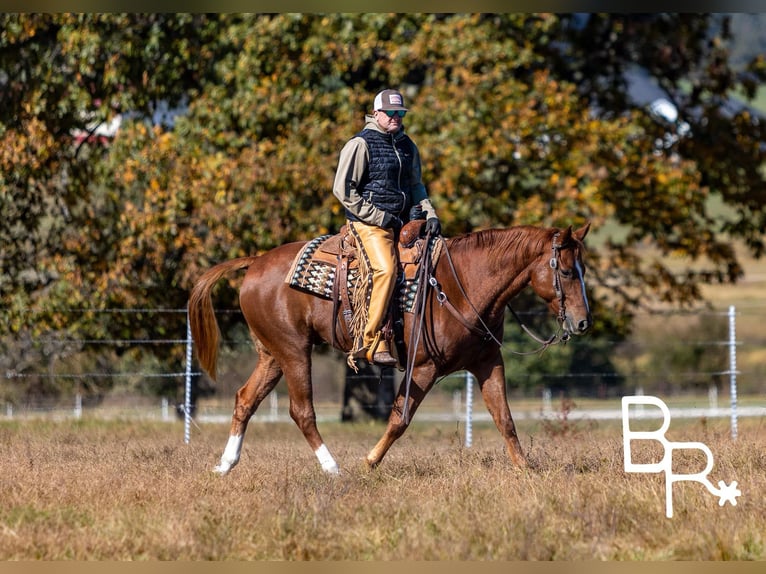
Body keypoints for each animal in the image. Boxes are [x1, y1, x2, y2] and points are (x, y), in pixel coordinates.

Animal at [188, 223, 592, 475]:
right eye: (566, 272)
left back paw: (225, 465)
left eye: (583, 269)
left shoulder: (488, 362)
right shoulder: (424, 367)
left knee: (245, 399)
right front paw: (369, 462)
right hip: (294, 351)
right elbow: (400, 418)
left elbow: (504, 418)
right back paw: (333, 468)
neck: (459, 283)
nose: (582, 322)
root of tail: (255, 261)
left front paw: (526, 469)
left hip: (273, 355)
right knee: (301, 411)